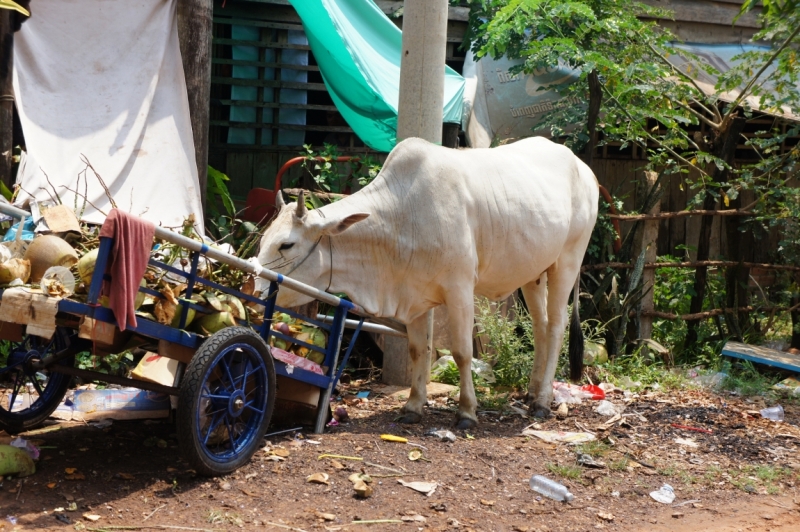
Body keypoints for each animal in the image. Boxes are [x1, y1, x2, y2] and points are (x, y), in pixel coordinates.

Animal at [260, 137, 596, 428]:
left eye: (286, 245)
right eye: (263, 239)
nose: (256, 286)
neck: (402, 214)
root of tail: (584, 168)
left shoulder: (460, 289)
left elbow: (462, 353)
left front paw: (467, 411)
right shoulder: (415, 295)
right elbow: (417, 350)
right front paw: (413, 406)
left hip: (568, 261)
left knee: (556, 326)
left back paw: (542, 401)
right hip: (535, 273)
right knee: (540, 326)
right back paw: (532, 391)